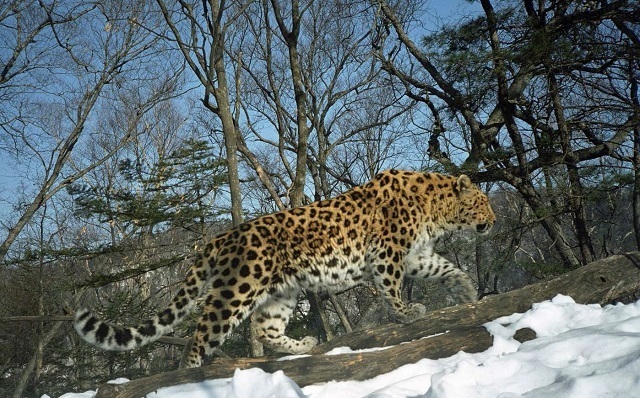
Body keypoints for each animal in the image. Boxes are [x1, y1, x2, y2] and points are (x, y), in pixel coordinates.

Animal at [74, 168, 496, 366]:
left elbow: (445, 268)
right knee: (201, 333)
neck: (436, 209)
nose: (493, 220)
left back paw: (304, 345)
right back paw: (188, 374)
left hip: (282, 292)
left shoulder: (414, 254)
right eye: (483, 203)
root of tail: (219, 238)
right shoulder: (388, 253)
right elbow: (391, 288)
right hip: (237, 289)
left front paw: (466, 291)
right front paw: (408, 313)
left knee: (266, 328)